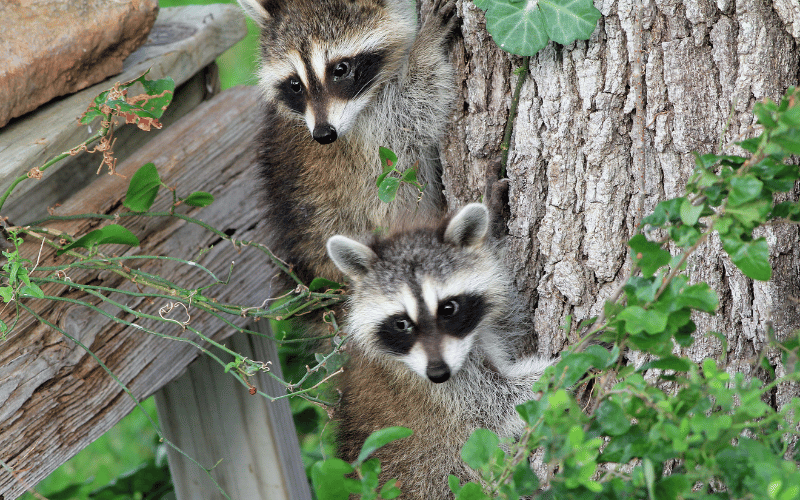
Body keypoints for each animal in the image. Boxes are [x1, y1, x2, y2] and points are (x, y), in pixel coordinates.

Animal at [236, 0, 456, 286]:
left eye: (340, 69)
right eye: (295, 84)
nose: (323, 135)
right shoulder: (367, 139)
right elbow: (414, 112)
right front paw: (427, 45)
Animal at [326, 204, 556, 500]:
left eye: (449, 309)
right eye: (402, 323)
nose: (438, 373)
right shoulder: (440, 393)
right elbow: (497, 404)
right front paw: (563, 363)